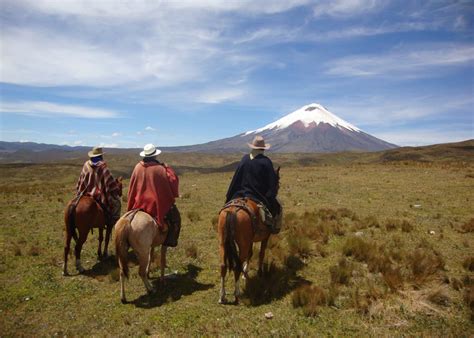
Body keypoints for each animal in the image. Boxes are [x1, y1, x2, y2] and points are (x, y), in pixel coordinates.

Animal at [219, 166, 282, 304]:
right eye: (278, 182)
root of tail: (232, 211)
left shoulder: (250, 240)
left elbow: (250, 253)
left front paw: (246, 273)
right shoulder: (265, 237)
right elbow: (261, 253)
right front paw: (260, 273)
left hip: (222, 243)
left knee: (223, 266)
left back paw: (222, 296)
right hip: (241, 244)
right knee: (237, 265)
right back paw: (236, 294)